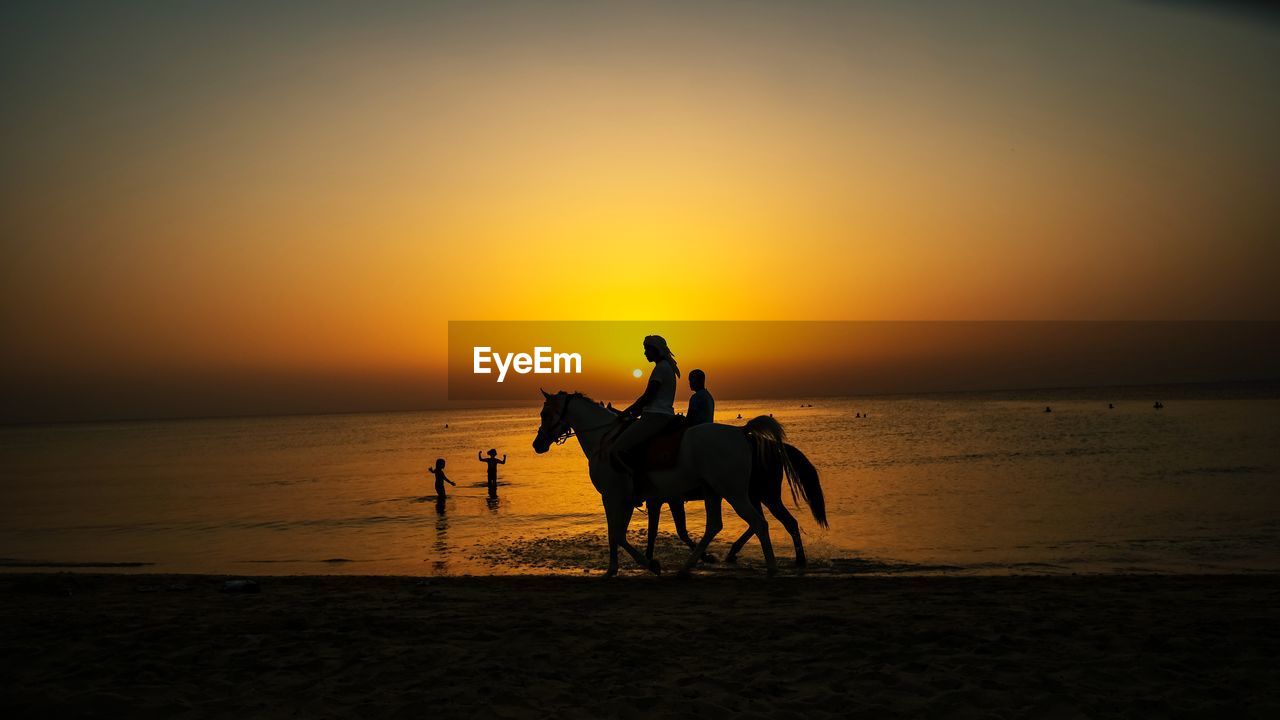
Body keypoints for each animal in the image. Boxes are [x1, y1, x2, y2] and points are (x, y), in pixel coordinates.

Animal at [532, 389, 824, 573]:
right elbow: (629, 533)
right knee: (722, 525)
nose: (538, 444)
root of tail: (744, 433)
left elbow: (617, 533)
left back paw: (772, 566)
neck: (605, 440)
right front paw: (632, 565)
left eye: (545, 414)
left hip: (740, 493)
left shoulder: (616, 496)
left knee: (761, 523)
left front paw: (637, 565)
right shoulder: (646, 499)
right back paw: (691, 565)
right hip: (724, 492)